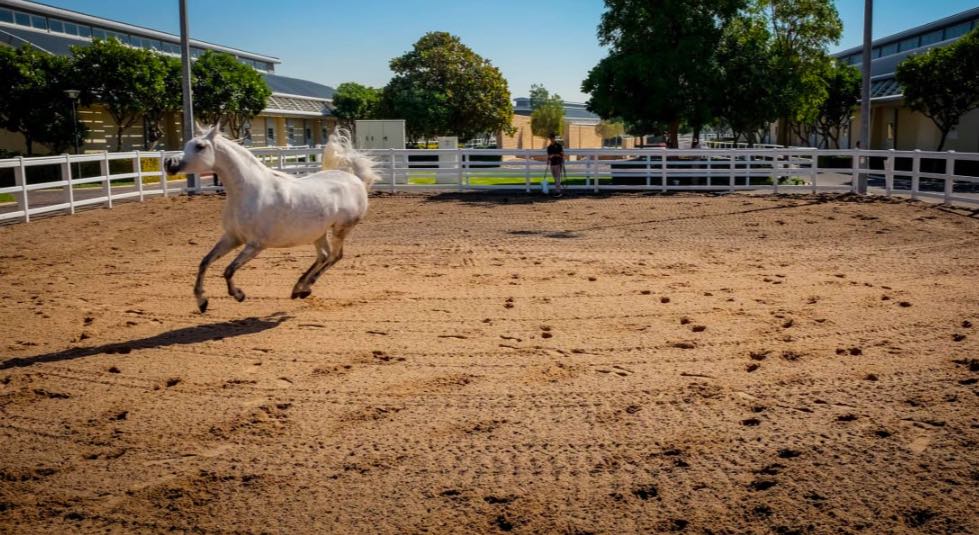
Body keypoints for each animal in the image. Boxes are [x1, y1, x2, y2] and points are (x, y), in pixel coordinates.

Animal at [165, 123, 378, 312]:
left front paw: (238, 295)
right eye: (187, 143)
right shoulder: (232, 238)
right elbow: (205, 262)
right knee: (324, 256)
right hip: (318, 233)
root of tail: (356, 179)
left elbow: (228, 270)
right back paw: (299, 288)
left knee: (335, 256)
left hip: (341, 229)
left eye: (200, 146)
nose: (169, 163)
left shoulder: (255, 245)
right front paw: (202, 302)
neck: (249, 192)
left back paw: (305, 286)